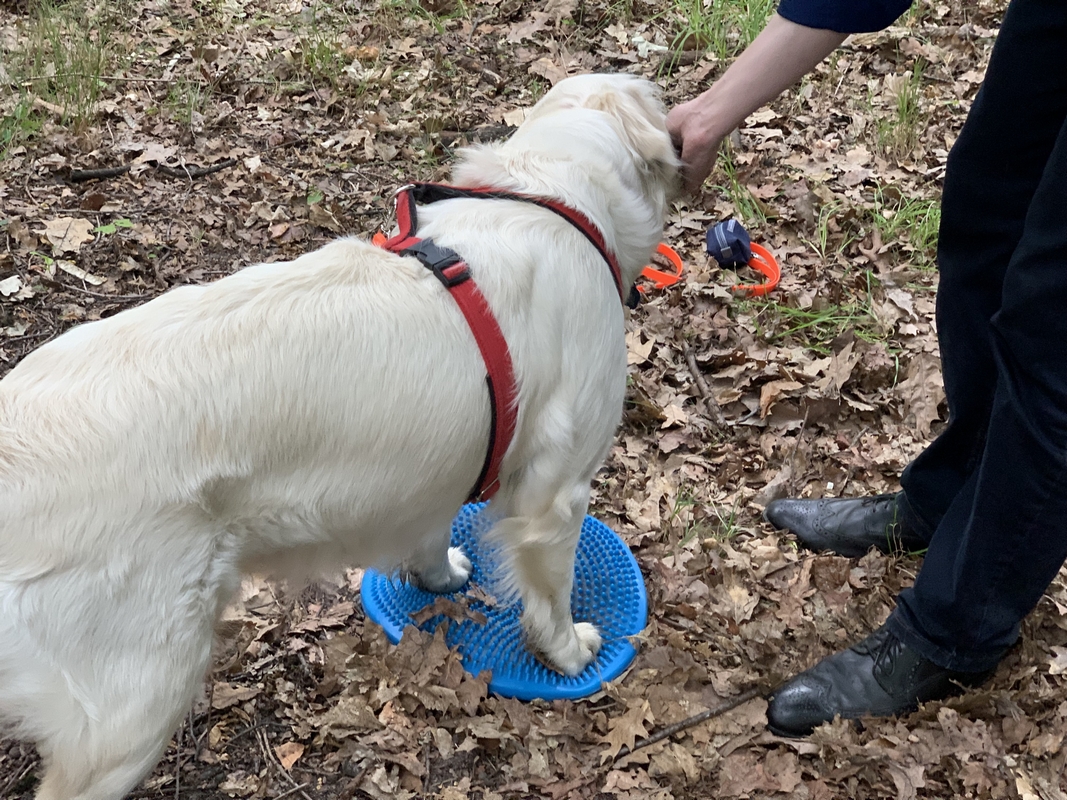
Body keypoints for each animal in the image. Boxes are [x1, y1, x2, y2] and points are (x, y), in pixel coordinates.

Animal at [0, 72, 678, 797]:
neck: (554, 191)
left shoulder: (441, 463)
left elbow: (431, 532)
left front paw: (440, 575)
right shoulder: (555, 495)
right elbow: (548, 597)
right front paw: (570, 653)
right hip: (135, 699)